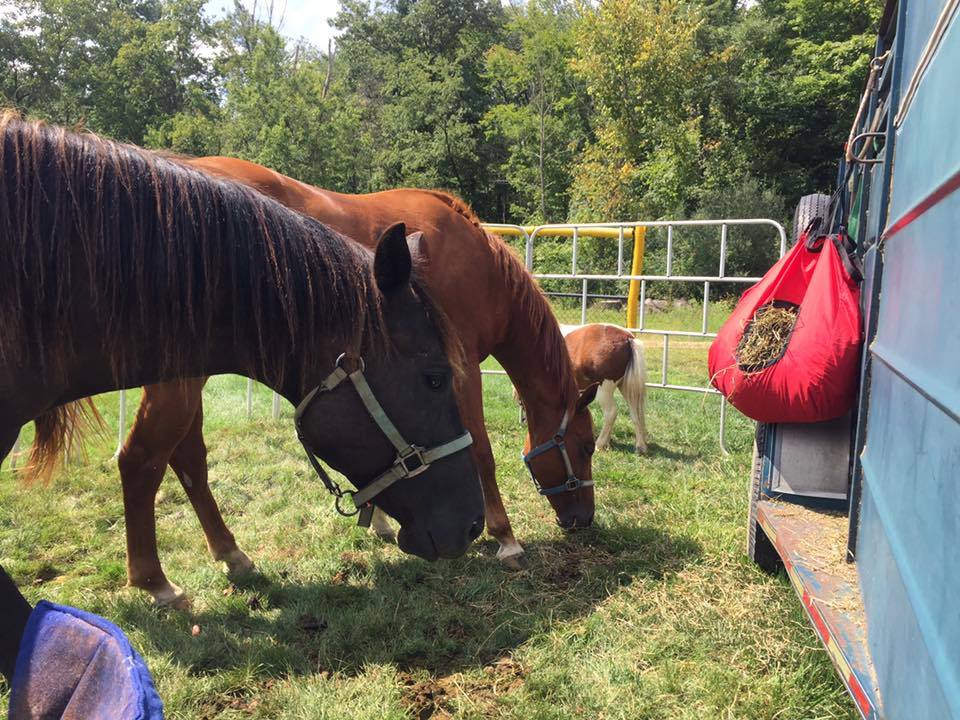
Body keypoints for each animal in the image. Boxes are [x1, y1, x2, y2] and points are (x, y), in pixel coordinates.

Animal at [116, 159, 596, 608]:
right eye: (587, 446)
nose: (585, 520)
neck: (475, 261)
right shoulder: (460, 373)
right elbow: (481, 452)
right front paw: (506, 538)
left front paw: (379, 519)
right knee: (142, 458)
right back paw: (158, 584)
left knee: (188, 458)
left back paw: (230, 555)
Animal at [560, 324, 648, 452]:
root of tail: (627, 338)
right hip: (626, 388)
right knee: (635, 413)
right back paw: (640, 446)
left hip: (603, 390)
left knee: (611, 413)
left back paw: (600, 444)